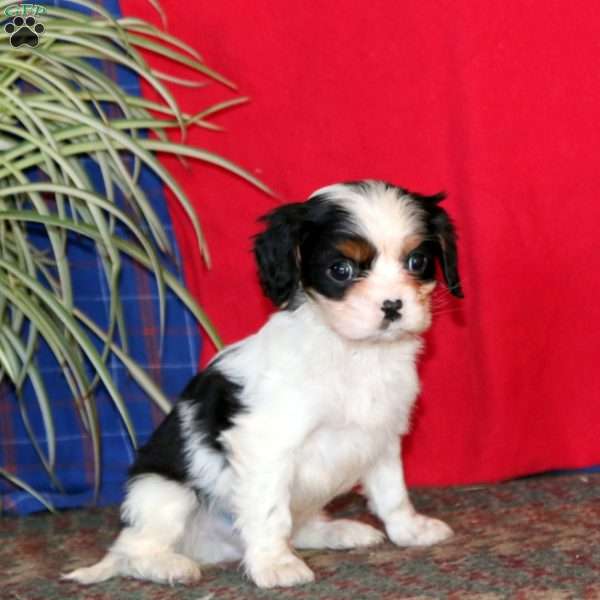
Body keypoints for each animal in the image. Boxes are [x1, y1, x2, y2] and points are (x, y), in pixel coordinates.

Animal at [62, 180, 464, 588]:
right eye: (341, 269)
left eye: (417, 262)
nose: (393, 305)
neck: (356, 352)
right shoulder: (265, 444)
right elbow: (270, 510)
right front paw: (275, 564)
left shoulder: (381, 437)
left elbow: (391, 492)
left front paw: (410, 531)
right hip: (163, 494)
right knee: (133, 551)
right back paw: (168, 565)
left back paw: (338, 531)